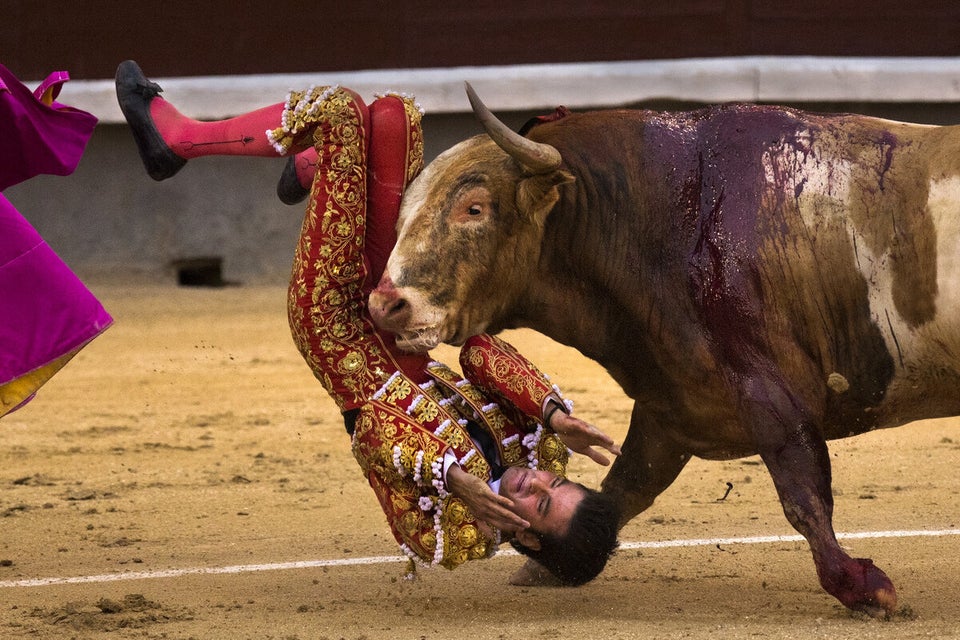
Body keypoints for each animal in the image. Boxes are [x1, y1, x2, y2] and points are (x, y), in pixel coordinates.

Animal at [368, 82, 960, 616]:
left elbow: (802, 491)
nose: (383, 305)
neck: (661, 219)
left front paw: (863, 587)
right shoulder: (673, 407)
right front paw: (538, 569)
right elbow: (628, 485)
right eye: (401, 217)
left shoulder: (769, 393)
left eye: (474, 208)